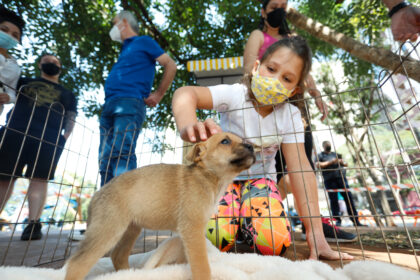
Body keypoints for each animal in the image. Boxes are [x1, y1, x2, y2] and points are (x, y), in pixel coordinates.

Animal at [64, 132, 254, 280]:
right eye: (225, 141)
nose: (252, 146)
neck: (208, 176)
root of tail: (97, 194)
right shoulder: (192, 229)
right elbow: (201, 265)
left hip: (130, 229)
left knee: (118, 256)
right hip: (108, 230)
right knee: (76, 264)